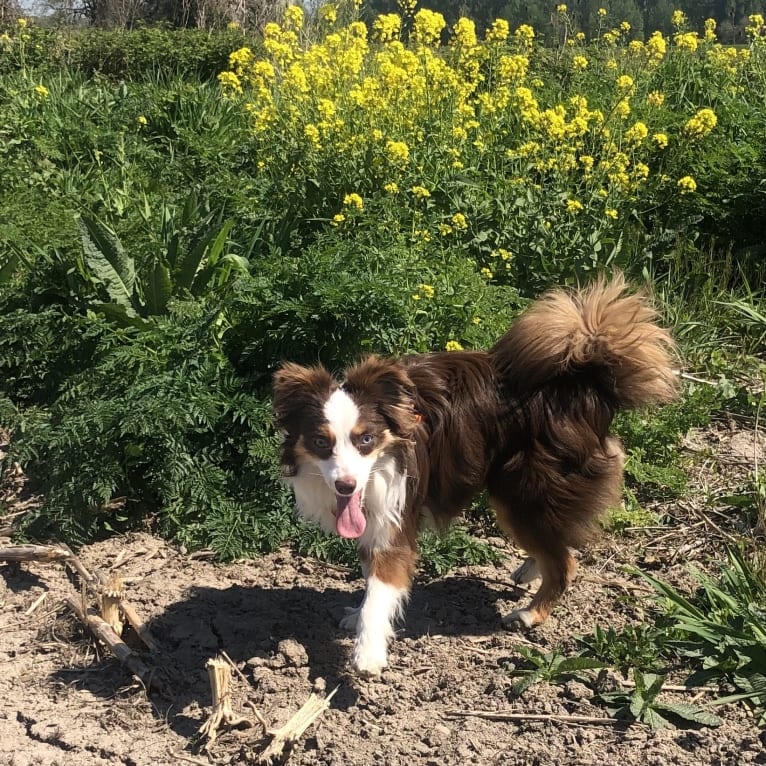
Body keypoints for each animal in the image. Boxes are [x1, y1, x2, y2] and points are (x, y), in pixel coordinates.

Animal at [274, 278, 680, 680]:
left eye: (366, 440)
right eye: (320, 442)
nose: (346, 486)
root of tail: (585, 385)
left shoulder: (396, 513)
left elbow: (380, 588)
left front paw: (368, 653)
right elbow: (369, 576)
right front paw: (358, 617)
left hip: (521, 493)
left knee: (564, 561)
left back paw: (530, 613)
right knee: (552, 545)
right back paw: (529, 569)